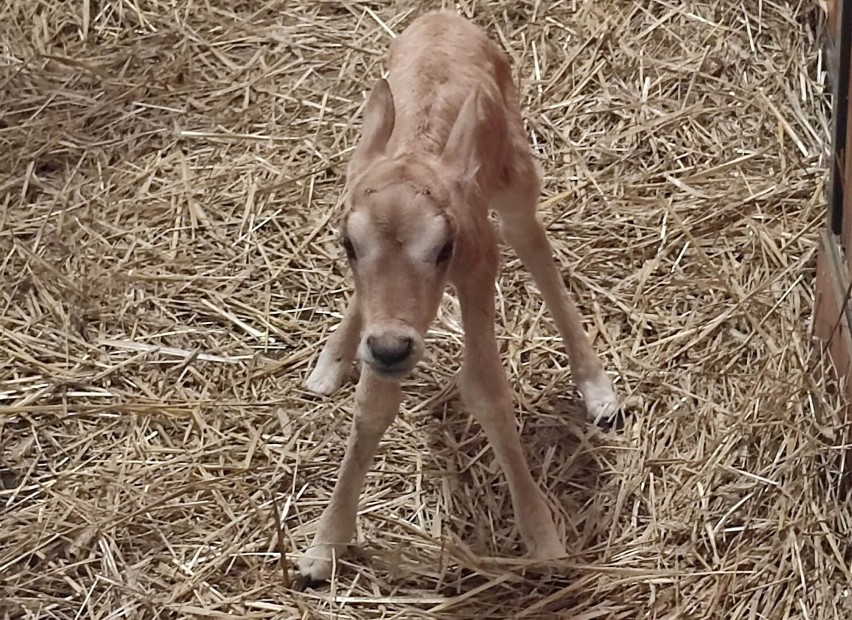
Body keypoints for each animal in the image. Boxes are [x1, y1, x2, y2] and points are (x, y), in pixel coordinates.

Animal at [300, 9, 620, 584]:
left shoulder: (477, 263)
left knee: (533, 243)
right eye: (347, 244)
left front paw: (543, 538)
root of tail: (442, 16)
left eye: (444, 246)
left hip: (516, 177)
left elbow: (487, 391)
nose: (390, 349)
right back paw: (331, 362)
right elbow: (372, 405)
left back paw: (596, 387)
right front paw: (322, 548)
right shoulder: (389, 322)